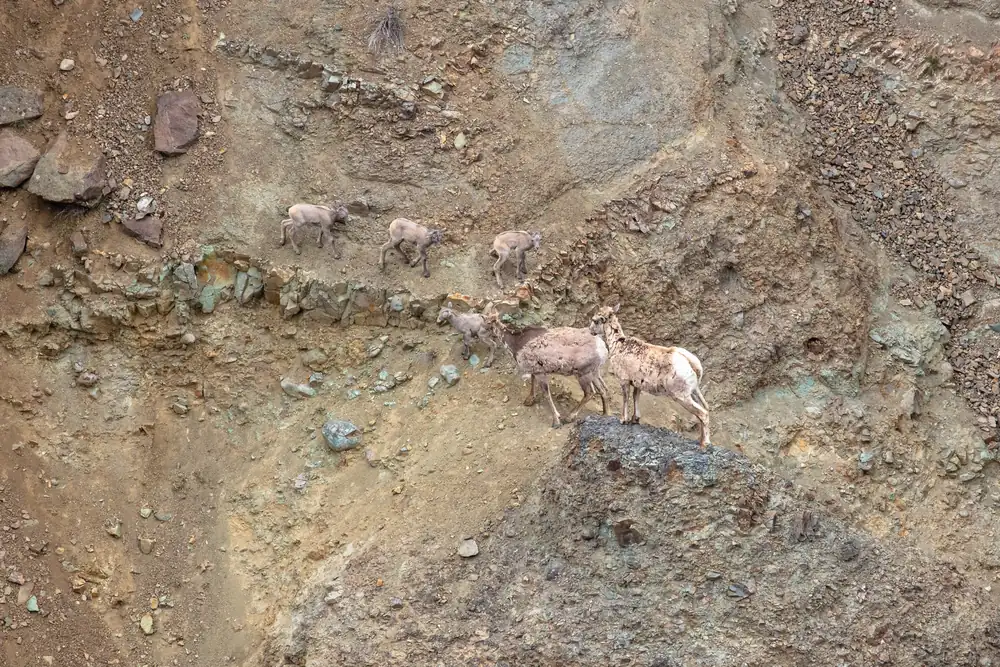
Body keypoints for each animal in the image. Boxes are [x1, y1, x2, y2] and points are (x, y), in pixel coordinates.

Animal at [589, 304, 711, 448]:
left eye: (595, 320)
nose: (591, 331)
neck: (618, 345)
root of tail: (692, 363)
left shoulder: (624, 380)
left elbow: (626, 398)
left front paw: (623, 420)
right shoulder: (637, 383)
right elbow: (635, 397)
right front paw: (635, 420)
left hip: (681, 395)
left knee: (703, 414)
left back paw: (704, 443)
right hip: (693, 393)